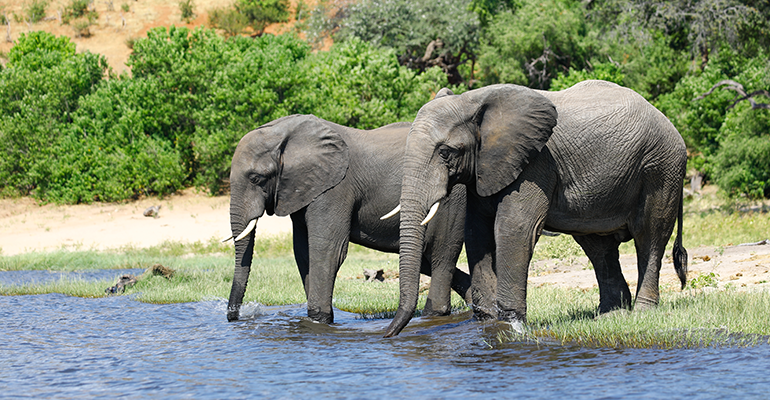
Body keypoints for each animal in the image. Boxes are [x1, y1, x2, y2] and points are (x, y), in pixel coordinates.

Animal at [222, 113, 468, 324]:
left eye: (256, 178)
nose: (234, 318)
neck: (284, 133)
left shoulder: (334, 189)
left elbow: (328, 250)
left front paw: (319, 319)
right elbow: (302, 251)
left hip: (453, 198)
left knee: (441, 255)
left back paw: (435, 314)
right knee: (425, 258)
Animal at [380, 79, 688, 336]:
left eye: (445, 152)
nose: (388, 335)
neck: (472, 100)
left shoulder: (535, 163)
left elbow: (514, 228)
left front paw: (510, 325)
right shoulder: (486, 167)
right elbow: (477, 233)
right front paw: (486, 321)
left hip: (661, 167)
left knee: (650, 237)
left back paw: (642, 311)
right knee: (598, 246)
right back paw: (610, 315)